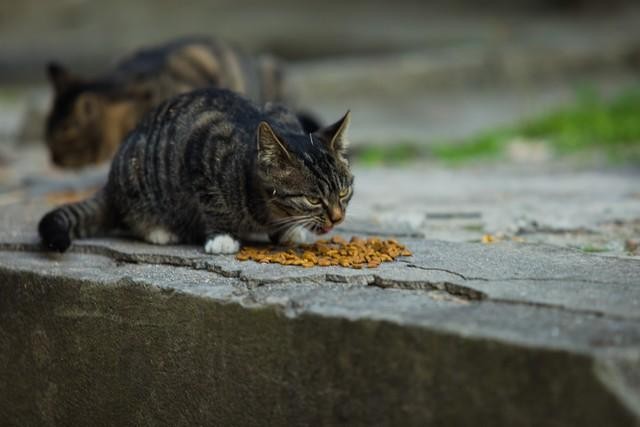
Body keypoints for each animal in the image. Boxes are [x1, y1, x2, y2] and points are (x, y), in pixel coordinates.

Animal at [39, 88, 352, 254]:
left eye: (344, 192)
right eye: (313, 199)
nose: (337, 218)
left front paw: (290, 231)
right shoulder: (203, 145)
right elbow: (214, 203)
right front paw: (222, 237)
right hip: (136, 177)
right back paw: (160, 230)